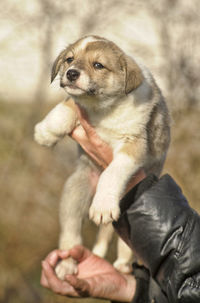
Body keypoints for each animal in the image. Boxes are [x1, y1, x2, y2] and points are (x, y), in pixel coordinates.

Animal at [34, 36, 170, 282]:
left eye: (98, 65)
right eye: (69, 59)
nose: (71, 73)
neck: (103, 108)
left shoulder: (132, 145)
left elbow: (112, 172)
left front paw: (102, 206)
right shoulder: (78, 103)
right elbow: (66, 107)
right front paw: (46, 132)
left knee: (128, 247)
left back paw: (123, 265)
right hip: (74, 193)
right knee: (71, 236)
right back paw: (67, 264)